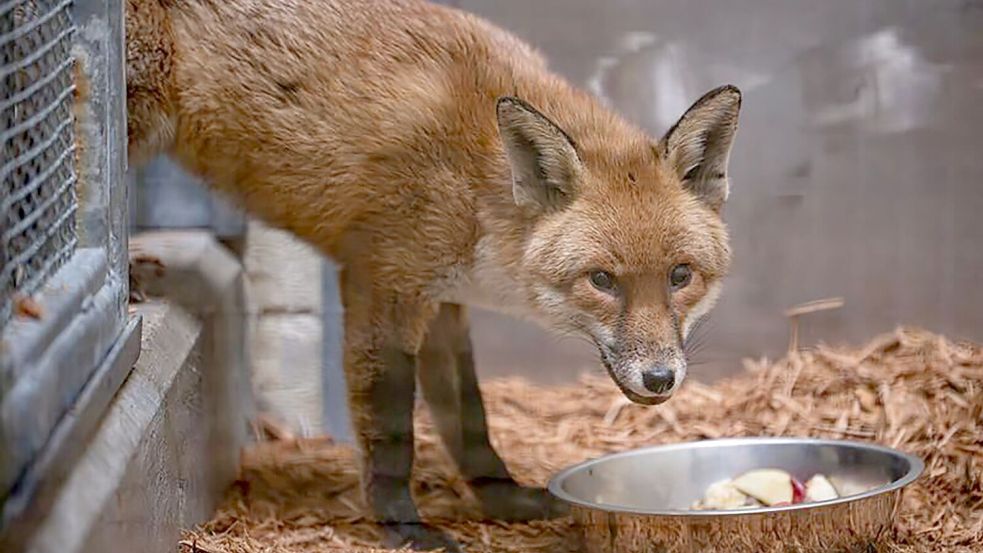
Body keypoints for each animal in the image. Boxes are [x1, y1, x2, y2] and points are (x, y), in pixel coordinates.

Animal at [123, 0, 740, 550]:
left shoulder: (445, 301)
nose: (660, 379)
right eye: (602, 280)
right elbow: (392, 430)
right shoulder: (382, 285)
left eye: (680, 275)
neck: (478, 187)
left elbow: (469, 418)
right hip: (137, 117)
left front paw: (502, 499)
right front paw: (403, 527)